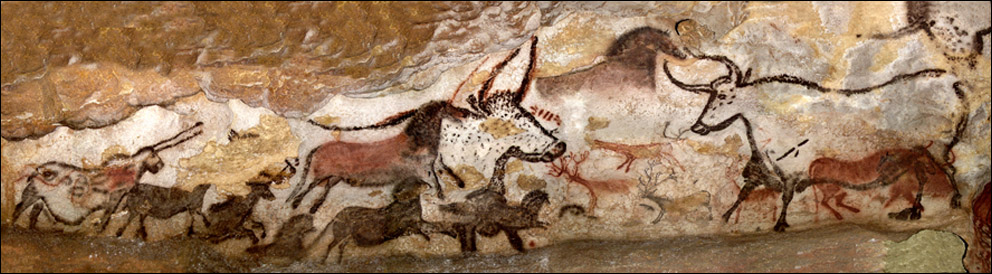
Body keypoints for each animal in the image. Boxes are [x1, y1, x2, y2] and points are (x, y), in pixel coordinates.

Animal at [286, 35, 564, 213]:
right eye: (452, 109)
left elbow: (446, 173)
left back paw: (311, 208)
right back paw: (296, 204)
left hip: (333, 178)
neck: (416, 142)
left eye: (524, 116)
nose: (559, 147)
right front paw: (442, 197)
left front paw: (457, 186)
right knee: (305, 185)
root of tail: (316, 148)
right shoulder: (423, 170)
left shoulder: (435, 163)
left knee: (321, 189)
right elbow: (437, 183)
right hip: (319, 174)